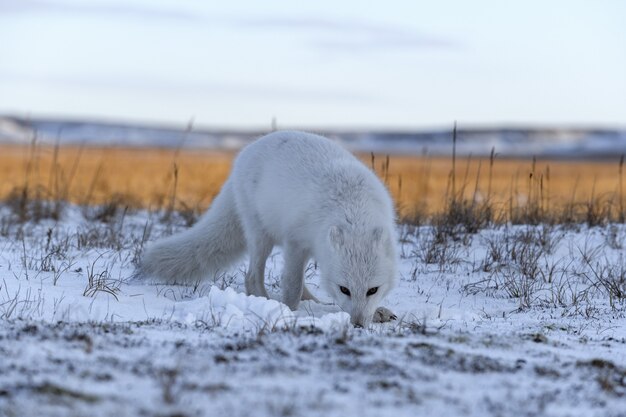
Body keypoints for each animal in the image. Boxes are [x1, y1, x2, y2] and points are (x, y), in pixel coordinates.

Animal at [139, 132, 398, 326]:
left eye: (372, 290)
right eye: (344, 289)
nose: (357, 324)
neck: (352, 209)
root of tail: (246, 152)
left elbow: (298, 284)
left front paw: (376, 312)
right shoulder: (295, 242)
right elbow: (292, 285)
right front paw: (289, 312)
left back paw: (317, 303)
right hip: (261, 235)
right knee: (252, 277)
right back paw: (266, 302)